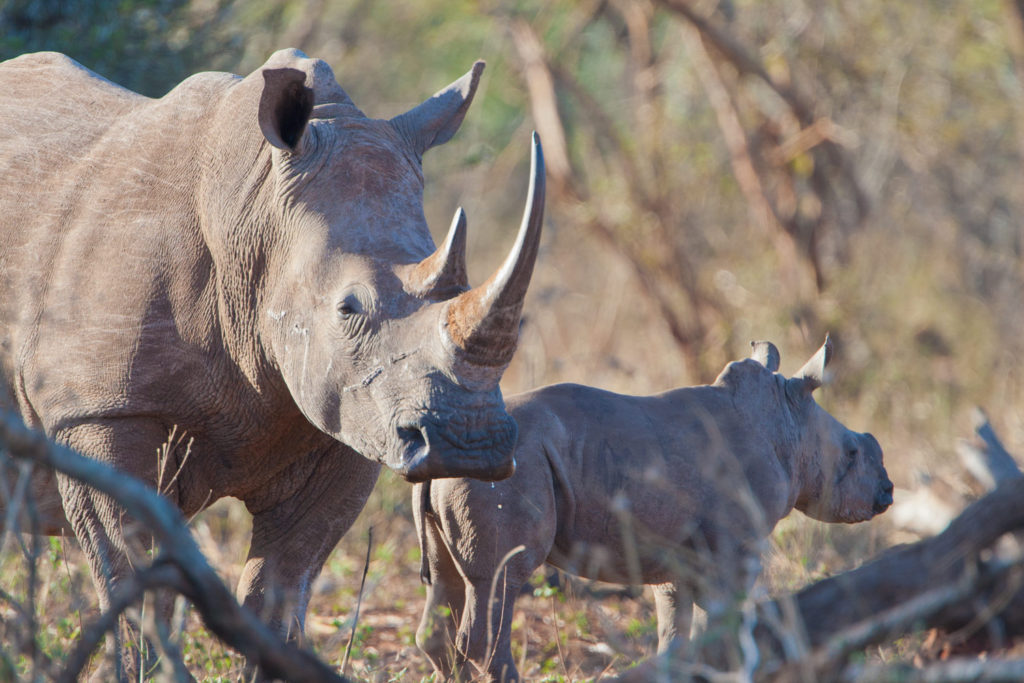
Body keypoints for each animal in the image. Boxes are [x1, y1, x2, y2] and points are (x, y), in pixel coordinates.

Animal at [0, 49, 544, 679]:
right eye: (348, 308)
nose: (469, 445)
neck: (255, 215)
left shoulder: (348, 421)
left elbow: (279, 592)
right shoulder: (96, 411)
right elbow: (136, 584)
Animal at [411, 337, 892, 683]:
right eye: (851, 454)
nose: (887, 494)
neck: (787, 426)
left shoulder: (680, 555)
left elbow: (677, 634)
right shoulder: (735, 547)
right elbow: (726, 626)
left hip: (468, 472)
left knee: (448, 583)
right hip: (507, 472)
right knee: (500, 581)